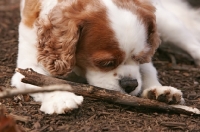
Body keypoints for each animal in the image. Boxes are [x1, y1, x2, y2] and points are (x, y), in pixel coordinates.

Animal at [11, 0, 200, 114]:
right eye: (106, 63)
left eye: (139, 58)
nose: (130, 85)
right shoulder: (28, 67)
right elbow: (41, 80)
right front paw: (60, 98)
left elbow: (148, 72)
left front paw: (159, 91)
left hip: (168, 23)